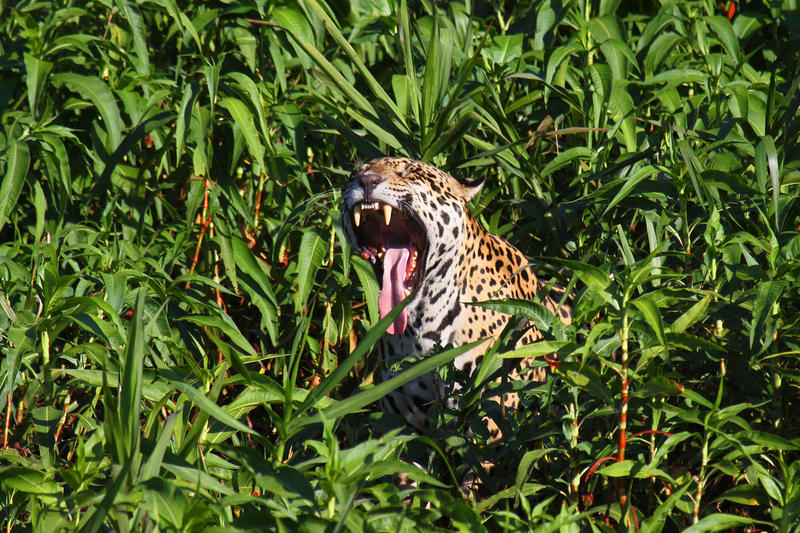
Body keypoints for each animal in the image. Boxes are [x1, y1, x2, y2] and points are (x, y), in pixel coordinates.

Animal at [340, 157, 571, 439]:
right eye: (354, 175)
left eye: (410, 172)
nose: (367, 181)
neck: (418, 327)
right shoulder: (400, 425)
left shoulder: (489, 421)